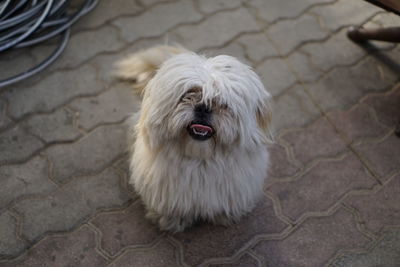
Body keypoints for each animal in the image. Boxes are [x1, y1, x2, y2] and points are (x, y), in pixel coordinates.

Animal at [114, 45, 274, 232]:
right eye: (188, 94)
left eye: (223, 103)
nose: (203, 107)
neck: (201, 160)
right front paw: (171, 220)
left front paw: (226, 216)